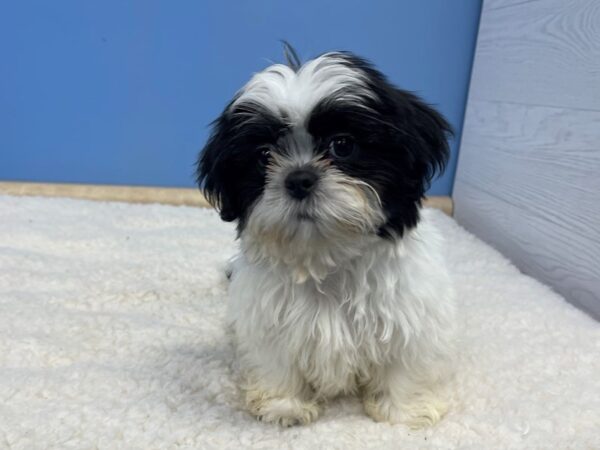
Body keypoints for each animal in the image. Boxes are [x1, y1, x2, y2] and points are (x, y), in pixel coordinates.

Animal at [197, 47, 454, 428]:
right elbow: (277, 362)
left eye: (343, 145)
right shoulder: (269, 321)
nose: (299, 178)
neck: (326, 257)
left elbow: (405, 363)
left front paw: (403, 411)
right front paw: (284, 406)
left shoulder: (409, 312)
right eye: (264, 156)